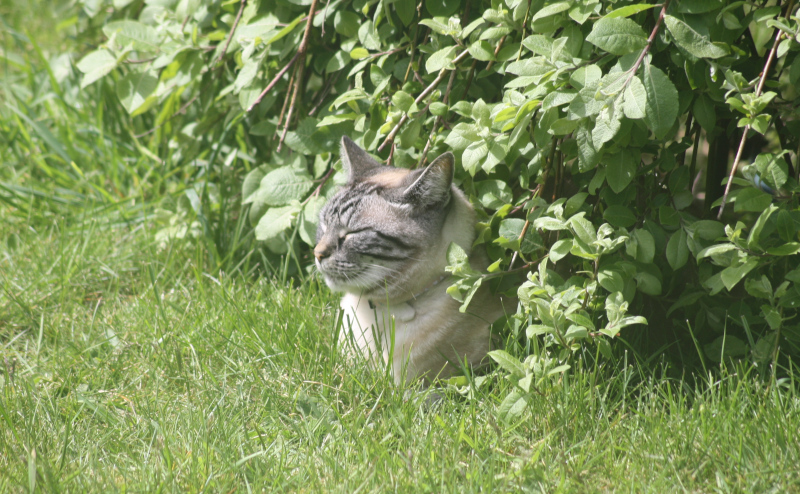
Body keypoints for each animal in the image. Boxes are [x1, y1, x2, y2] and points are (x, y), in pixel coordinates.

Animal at [312, 137, 506, 384]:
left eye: (353, 233)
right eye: (324, 225)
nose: (317, 254)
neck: (375, 310)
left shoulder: (411, 389)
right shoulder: (342, 370)